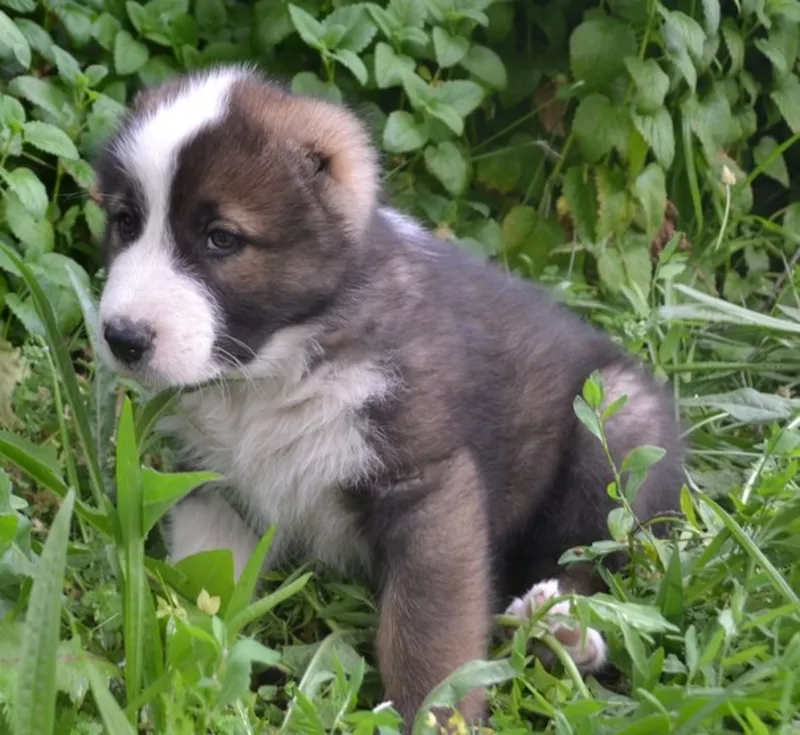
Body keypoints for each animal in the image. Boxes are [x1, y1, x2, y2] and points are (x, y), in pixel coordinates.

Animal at [92, 66, 680, 728]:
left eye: (221, 238)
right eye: (124, 221)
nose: (123, 337)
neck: (276, 370)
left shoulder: (426, 483)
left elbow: (426, 626)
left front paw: (433, 715)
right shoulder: (213, 482)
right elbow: (206, 583)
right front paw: (182, 674)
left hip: (617, 427)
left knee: (596, 548)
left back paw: (562, 628)